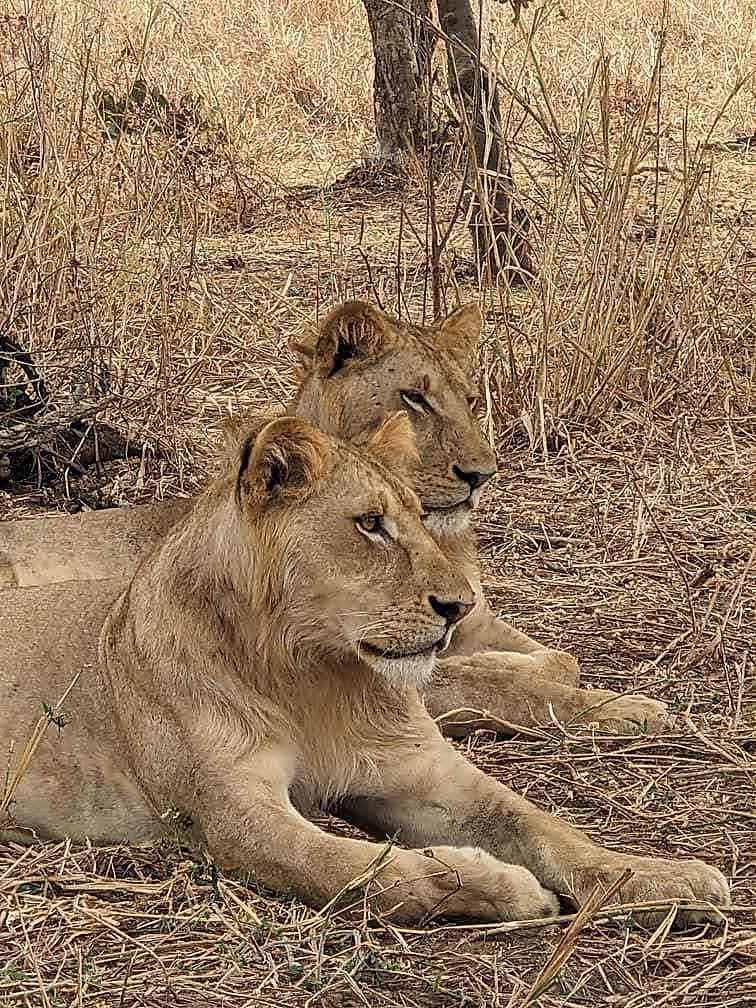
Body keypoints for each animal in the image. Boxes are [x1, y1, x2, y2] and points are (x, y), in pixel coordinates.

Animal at [0, 301, 670, 734]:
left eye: (471, 399)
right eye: (414, 397)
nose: (482, 473)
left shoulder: (473, 617)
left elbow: (555, 658)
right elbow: (499, 685)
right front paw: (627, 707)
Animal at [0, 414, 729, 925]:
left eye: (422, 520)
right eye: (370, 524)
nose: (458, 606)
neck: (313, 672)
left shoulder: (420, 771)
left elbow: (543, 826)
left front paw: (659, 878)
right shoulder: (235, 814)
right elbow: (361, 869)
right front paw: (500, 886)